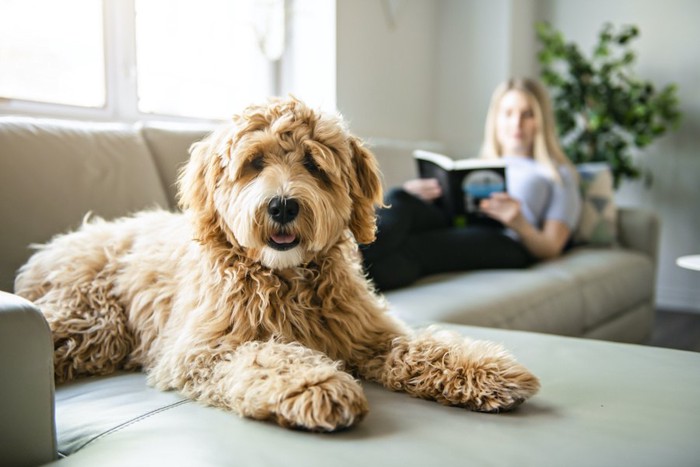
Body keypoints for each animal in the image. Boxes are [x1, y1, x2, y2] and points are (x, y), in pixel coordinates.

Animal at [15, 97, 540, 434]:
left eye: (313, 164)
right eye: (254, 163)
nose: (283, 205)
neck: (285, 277)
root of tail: (58, 244)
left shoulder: (369, 333)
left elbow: (422, 347)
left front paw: (486, 370)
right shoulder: (203, 350)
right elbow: (267, 355)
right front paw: (317, 384)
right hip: (93, 322)